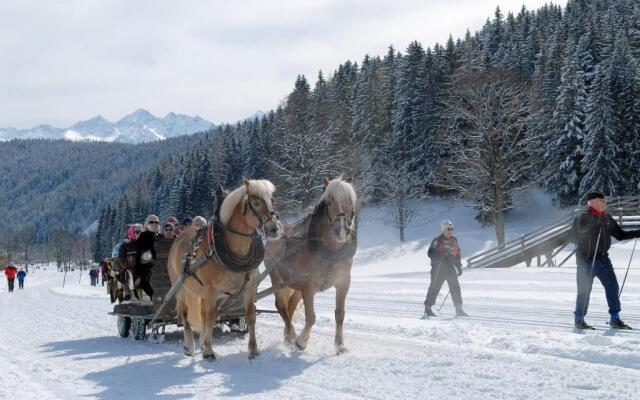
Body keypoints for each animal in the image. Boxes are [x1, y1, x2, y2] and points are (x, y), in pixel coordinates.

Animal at [168, 178, 282, 360]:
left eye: (273, 200)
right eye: (256, 202)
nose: (275, 229)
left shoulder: (249, 288)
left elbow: (250, 315)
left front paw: (253, 350)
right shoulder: (211, 290)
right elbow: (210, 318)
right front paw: (208, 351)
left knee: (203, 314)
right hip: (181, 288)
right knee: (186, 314)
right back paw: (190, 346)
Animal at [262, 177, 358, 354]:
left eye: (351, 201)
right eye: (329, 202)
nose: (341, 230)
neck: (330, 253)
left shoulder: (343, 283)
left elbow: (340, 314)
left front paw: (340, 345)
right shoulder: (308, 287)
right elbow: (311, 317)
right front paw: (302, 341)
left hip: (295, 285)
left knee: (290, 307)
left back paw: (287, 335)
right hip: (277, 277)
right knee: (281, 306)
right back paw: (291, 334)